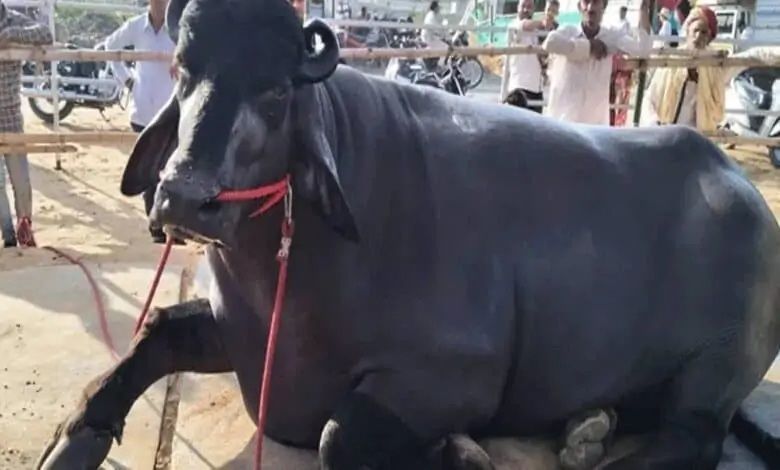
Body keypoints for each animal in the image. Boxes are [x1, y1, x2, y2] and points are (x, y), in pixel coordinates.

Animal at [36, 0, 780, 468]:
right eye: (184, 73)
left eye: (276, 93)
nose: (185, 197)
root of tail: (736, 183)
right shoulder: (236, 332)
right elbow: (151, 337)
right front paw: (72, 440)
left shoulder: (453, 373)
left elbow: (337, 437)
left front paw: (463, 451)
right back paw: (587, 429)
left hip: (714, 367)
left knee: (694, 439)